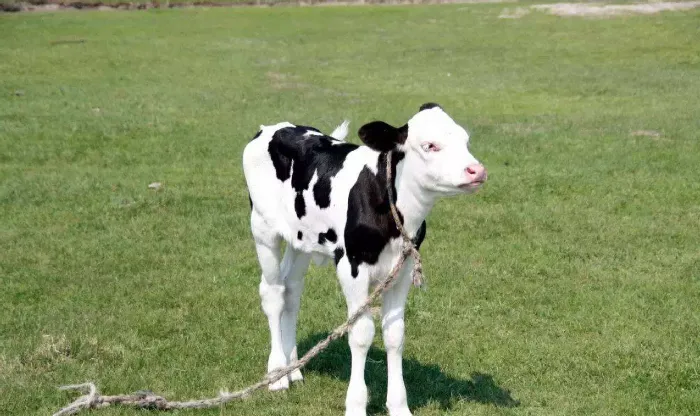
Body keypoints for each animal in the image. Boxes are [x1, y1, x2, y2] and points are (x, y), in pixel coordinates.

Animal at [242, 104, 486, 416]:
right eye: (429, 146)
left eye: (465, 140)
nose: (477, 170)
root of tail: (272, 128)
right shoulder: (352, 267)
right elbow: (361, 333)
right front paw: (356, 405)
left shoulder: (403, 269)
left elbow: (395, 333)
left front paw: (399, 406)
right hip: (263, 228)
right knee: (272, 293)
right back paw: (277, 375)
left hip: (301, 239)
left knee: (291, 291)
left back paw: (293, 368)